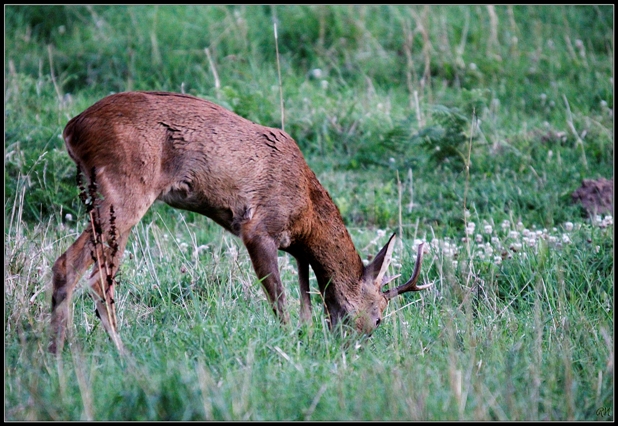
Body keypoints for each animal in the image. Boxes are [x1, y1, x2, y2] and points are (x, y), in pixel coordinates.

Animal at [49, 91, 432, 354]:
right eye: (379, 316)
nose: (354, 347)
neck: (307, 211)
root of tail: (72, 127)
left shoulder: (296, 249)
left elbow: (306, 297)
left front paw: (306, 336)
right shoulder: (258, 228)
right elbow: (280, 300)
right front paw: (288, 343)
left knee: (70, 268)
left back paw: (58, 352)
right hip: (125, 189)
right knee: (90, 275)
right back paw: (120, 352)